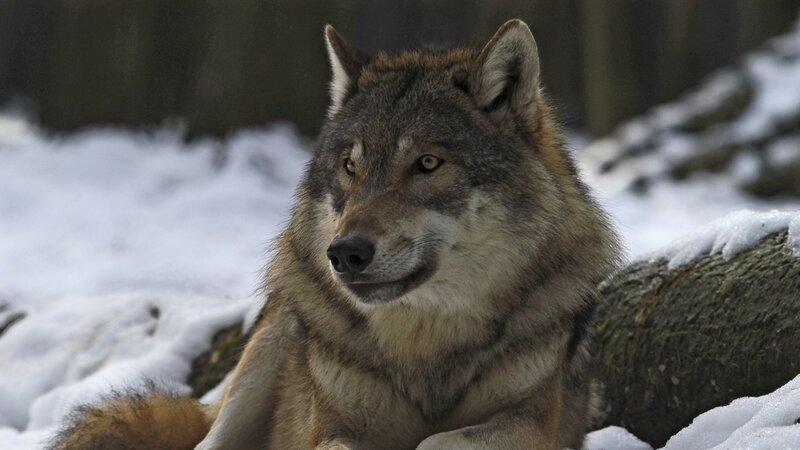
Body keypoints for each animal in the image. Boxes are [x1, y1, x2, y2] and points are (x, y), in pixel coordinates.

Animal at [51, 19, 619, 450]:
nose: (344, 253)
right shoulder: (329, 428)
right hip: (270, 349)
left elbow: (436, 440)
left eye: (427, 163)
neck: (425, 351)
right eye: (351, 166)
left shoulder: (532, 424)